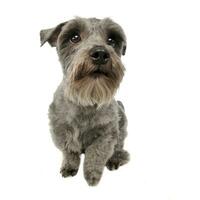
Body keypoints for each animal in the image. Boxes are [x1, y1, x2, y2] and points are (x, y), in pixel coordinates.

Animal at [40, 17, 130, 186]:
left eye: (111, 40)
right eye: (74, 37)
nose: (100, 53)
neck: (85, 99)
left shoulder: (106, 135)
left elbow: (95, 155)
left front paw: (92, 176)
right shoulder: (61, 131)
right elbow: (70, 152)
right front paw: (69, 167)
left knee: (119, 146)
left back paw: (115, 159)